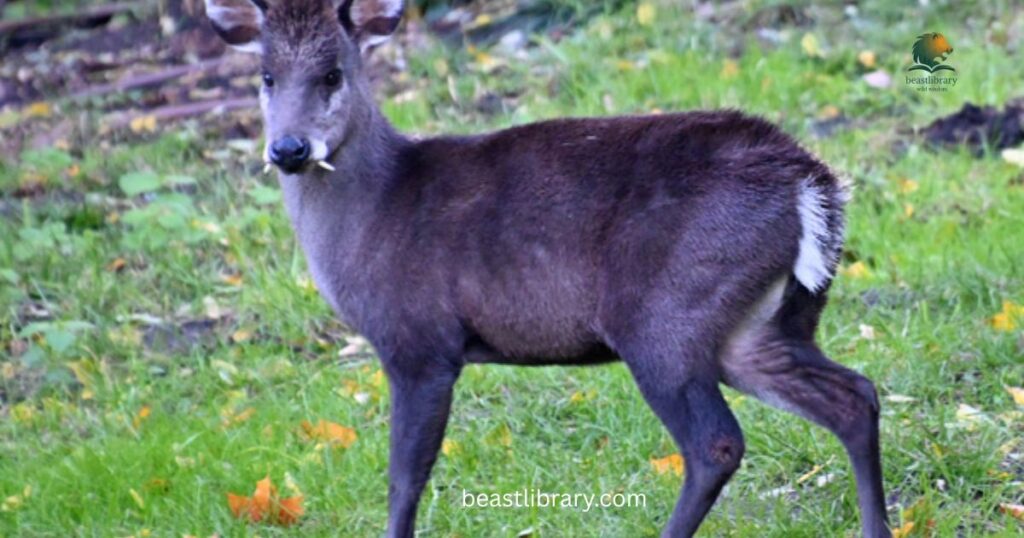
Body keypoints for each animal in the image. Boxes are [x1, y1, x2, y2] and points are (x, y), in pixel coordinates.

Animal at [203, 1, 890, 536]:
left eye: (332, 74)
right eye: (266, 76)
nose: (288, 149)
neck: (377, 210)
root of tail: (810, 182)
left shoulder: (419, 341)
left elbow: (405, 477)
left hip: (665, 311)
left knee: (716, 443)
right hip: (758, 324)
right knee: (855, 394)